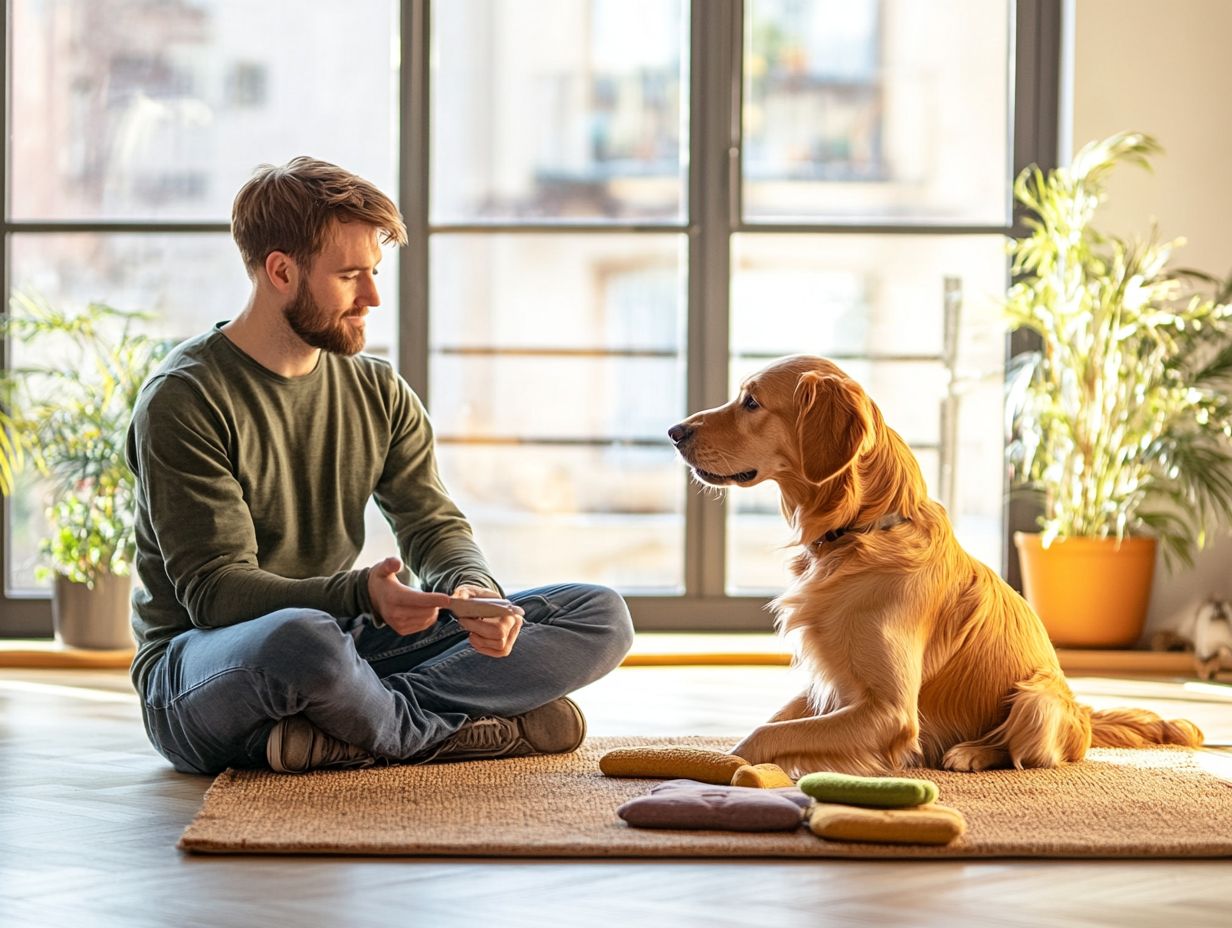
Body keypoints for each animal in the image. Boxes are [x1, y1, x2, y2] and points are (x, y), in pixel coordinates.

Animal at [670, 354, 1197, 773]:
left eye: (751, 402)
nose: (674, 432)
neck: (860, 531)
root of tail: (1084, 715)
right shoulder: (832, 681)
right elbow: (774, 721)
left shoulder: (891, 711)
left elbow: (766, 735)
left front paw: (723, 767)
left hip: (1037, 698)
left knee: (1030, 752)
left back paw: (973, 752)